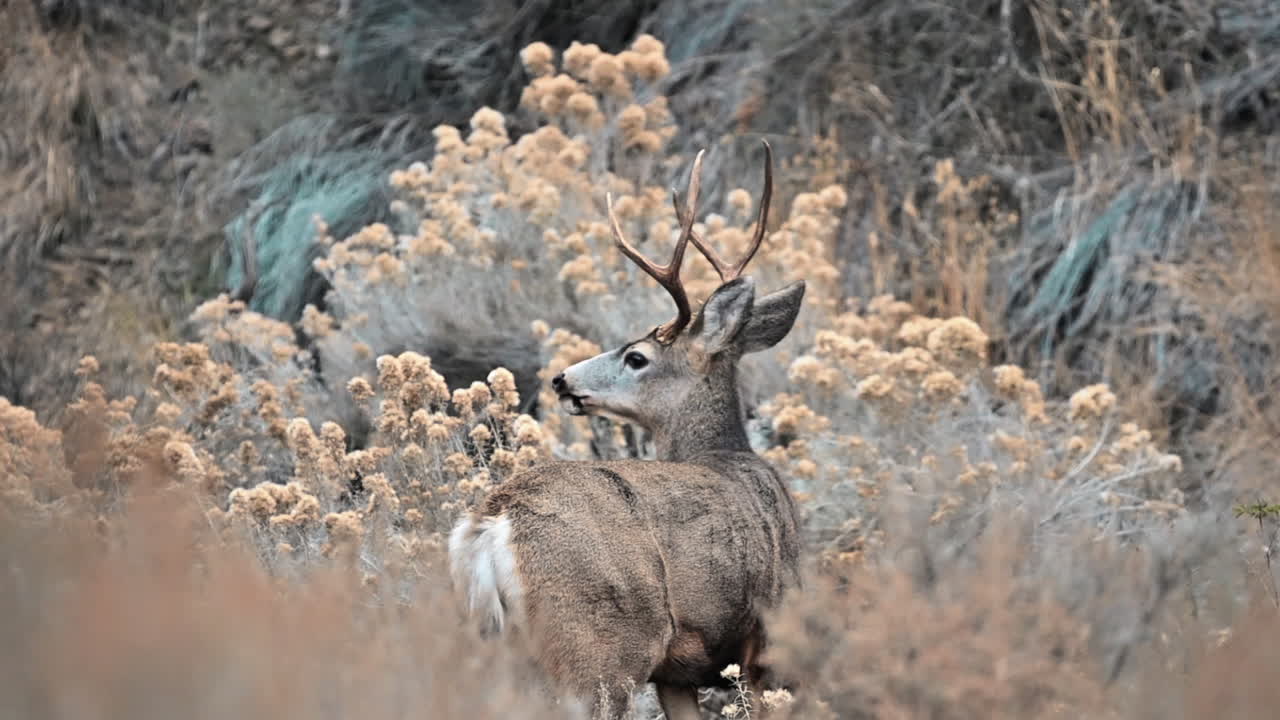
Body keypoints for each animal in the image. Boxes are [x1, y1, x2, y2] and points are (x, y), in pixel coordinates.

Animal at [448, 140, 805, 720]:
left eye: (636, 357)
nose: (562, 379)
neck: (726, 454)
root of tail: (491, 525)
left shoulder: (676, 673)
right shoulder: (767, 642)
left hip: (487, 647)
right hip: (598, 651)